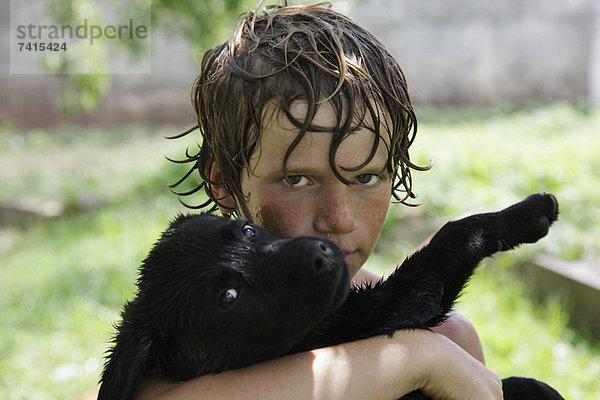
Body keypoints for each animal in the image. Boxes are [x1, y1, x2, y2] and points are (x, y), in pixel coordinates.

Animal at [98, 192, 564, 398]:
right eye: (228, 297)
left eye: (247, 230)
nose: (322, 253)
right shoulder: (387, 308)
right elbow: (452, 237)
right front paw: (528, 212)